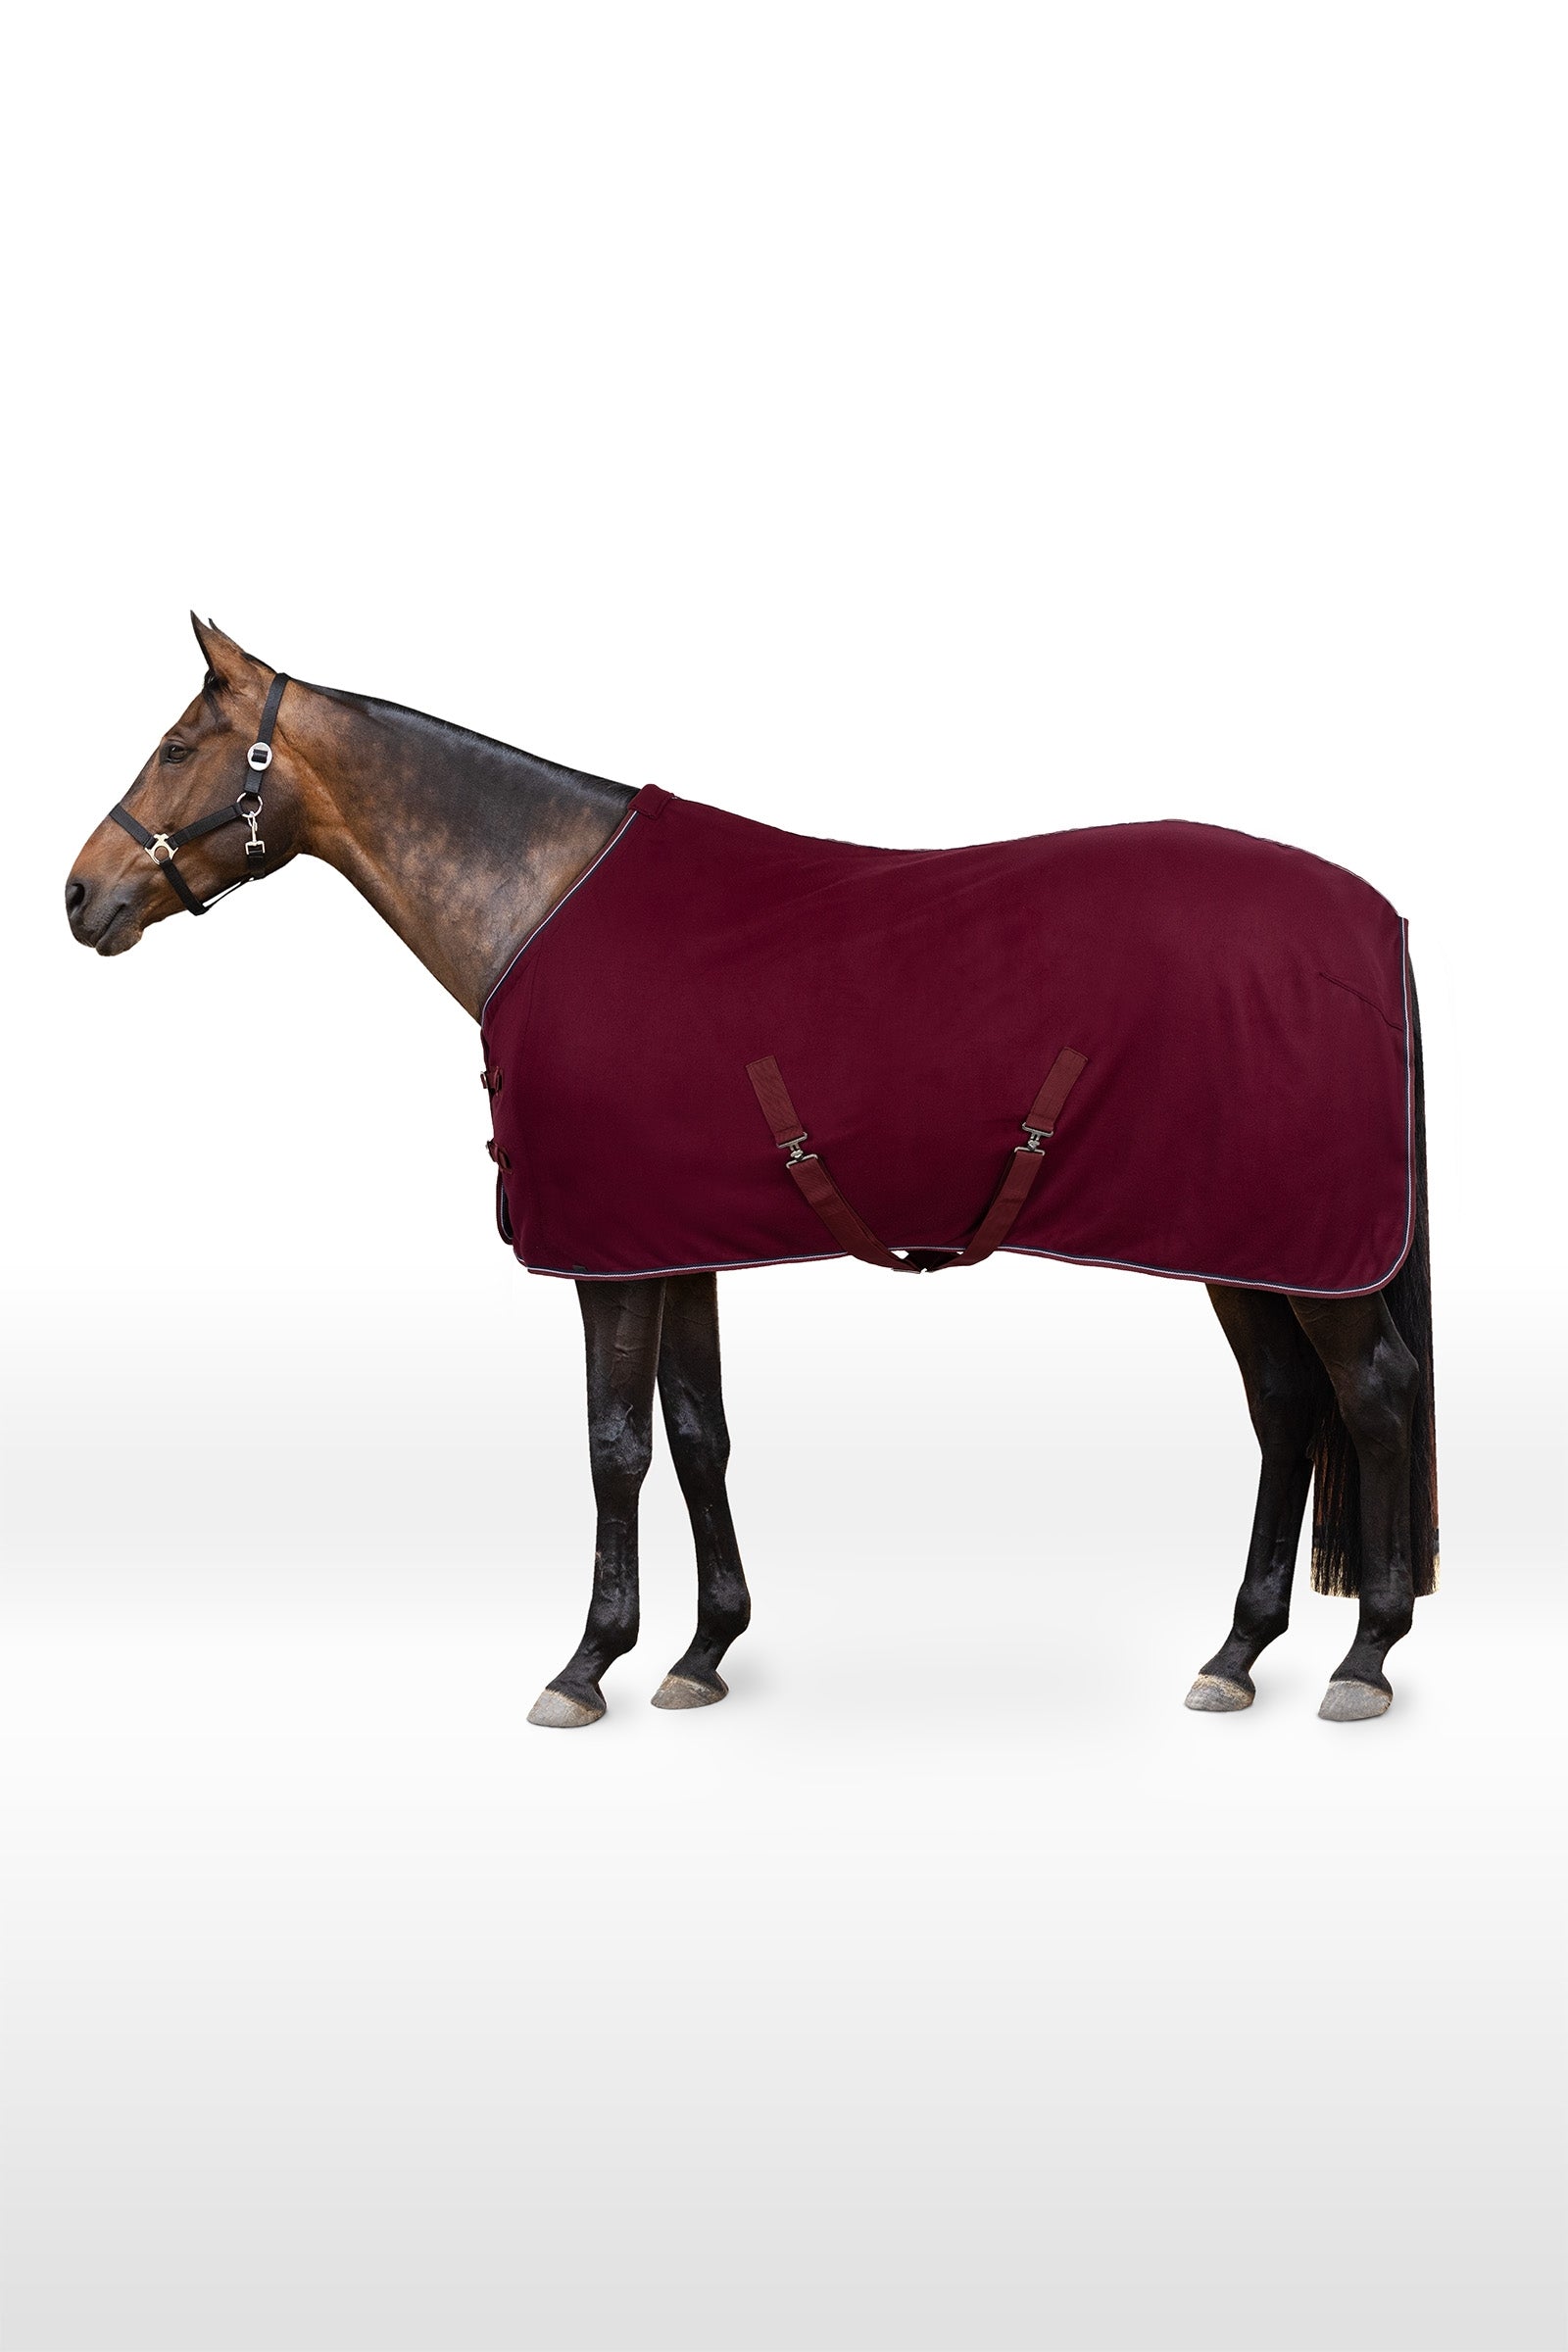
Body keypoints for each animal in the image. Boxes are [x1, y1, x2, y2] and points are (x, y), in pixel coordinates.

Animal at [65, 617, 1437, 1729]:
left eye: (179, 747)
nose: (80, 896)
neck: (543, 897)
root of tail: (1376, 919)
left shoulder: (606, 1259)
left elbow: (615, 1444)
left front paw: (587, 1666)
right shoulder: (673, 1243)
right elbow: (697, 1432)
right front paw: (702, 1651)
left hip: (1303, 1257)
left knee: (1371, 1397)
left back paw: (1365, 1657)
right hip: (1238, 1245)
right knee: (1286, 1409)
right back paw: (1238, 1652)